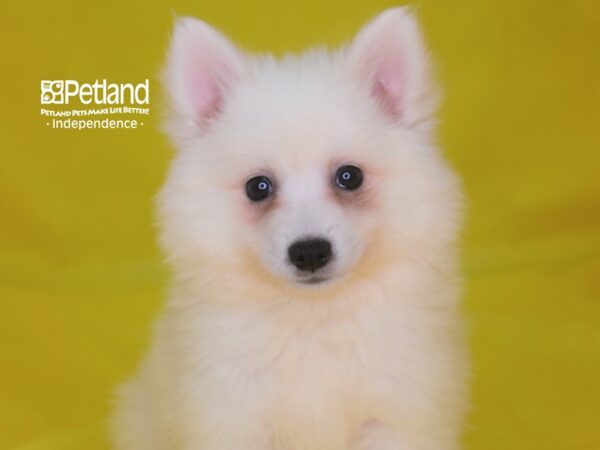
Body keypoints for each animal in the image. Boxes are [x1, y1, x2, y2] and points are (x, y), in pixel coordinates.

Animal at [112, 7, 468, 450]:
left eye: (349, 176)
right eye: (258, 187)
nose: (310, 251)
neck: (312, 320)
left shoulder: (394, 412)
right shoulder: (235, 414)